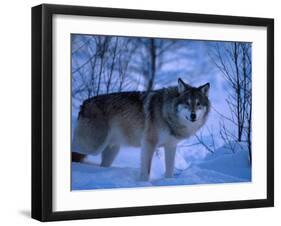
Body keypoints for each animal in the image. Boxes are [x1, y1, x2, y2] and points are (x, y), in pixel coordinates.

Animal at [71, 78, 209, 181]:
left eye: (198, 104)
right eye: (187, 103)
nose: (193, 115)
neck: (166, 113)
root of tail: (84, 103)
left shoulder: (171, 146)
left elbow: (170, 169)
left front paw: (169, 182)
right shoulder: (149, 144)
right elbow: (146, 170)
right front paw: (144, 183)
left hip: (111, 151)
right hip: (93, 147)